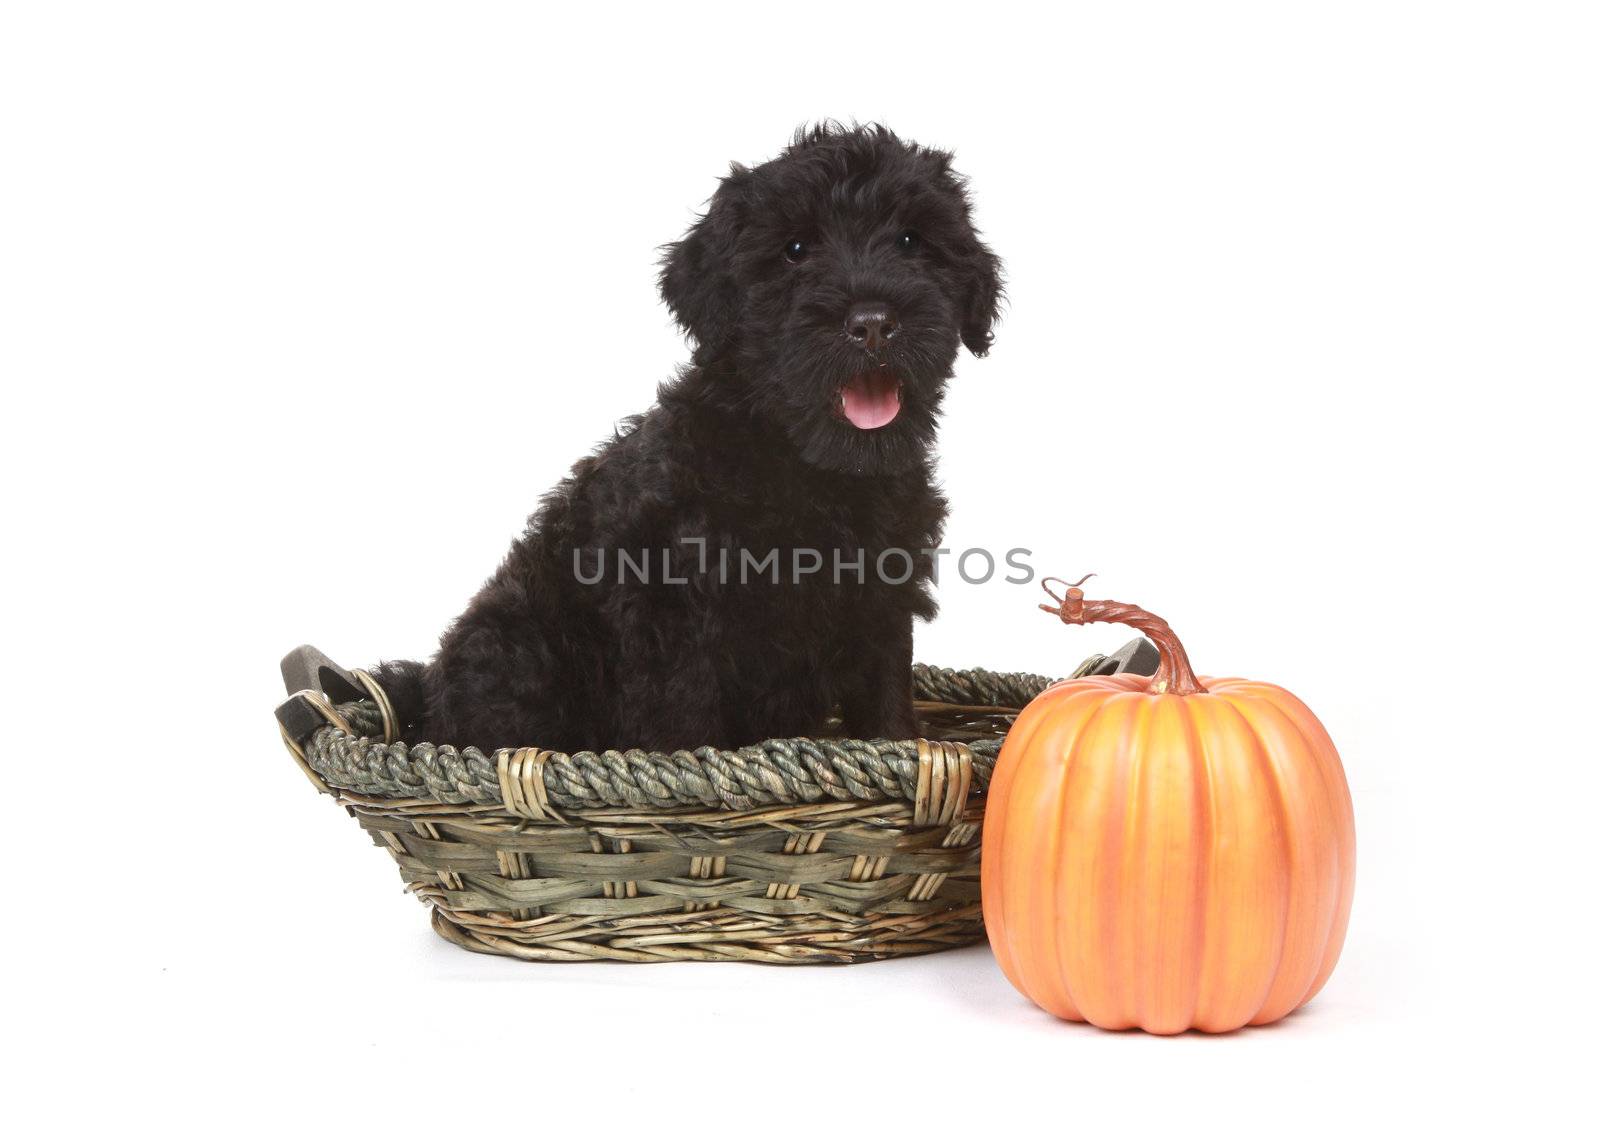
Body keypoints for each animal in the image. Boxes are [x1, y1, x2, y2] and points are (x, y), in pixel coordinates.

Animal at [374, 123, 998, 751]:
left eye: (911, 240)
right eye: (796, 250)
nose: (872, 324)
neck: (812, 469)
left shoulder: (883, 603)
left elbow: (887, 704)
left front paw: (903, 751)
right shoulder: (671, 616)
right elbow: (682, 723)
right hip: (519, 645)